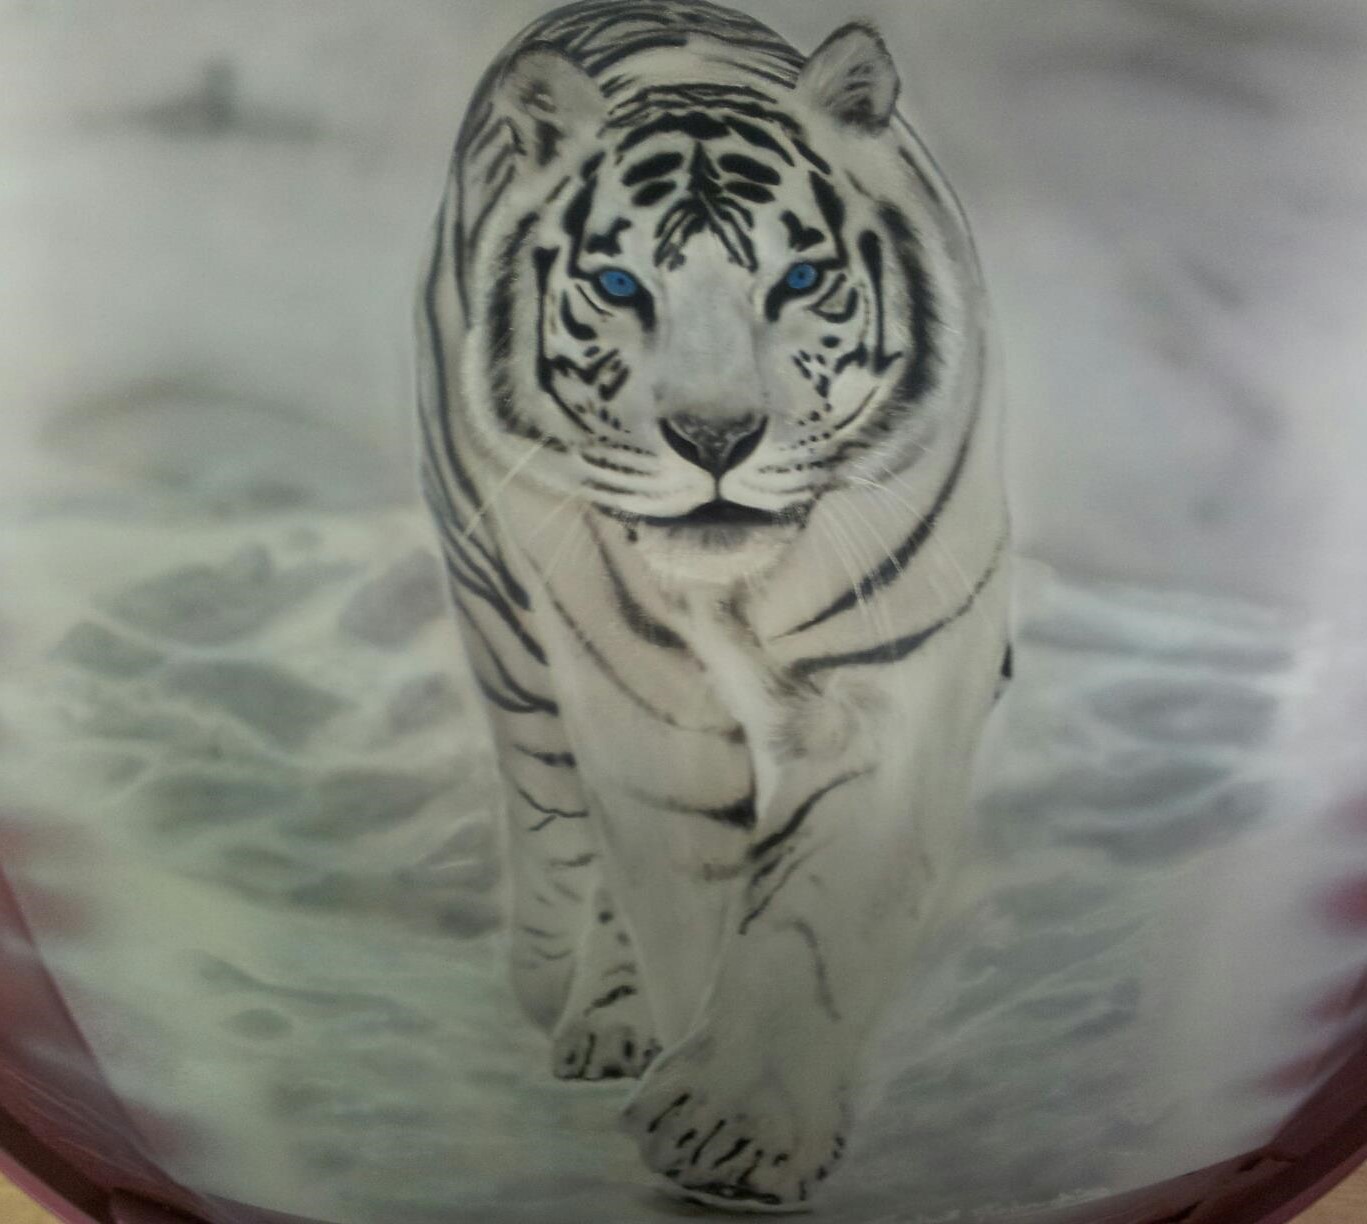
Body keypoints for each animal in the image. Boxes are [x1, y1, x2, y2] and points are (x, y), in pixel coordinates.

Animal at [416, 0, 1009, 1211]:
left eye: (798, 281)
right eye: (618, 288)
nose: (714, 437)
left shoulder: (891, 690)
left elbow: (816, 920)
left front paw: (740, 1131)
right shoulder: (643, 712)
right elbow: (681, 901)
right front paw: (696, 1099)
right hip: (505, 628)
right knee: (556, 822)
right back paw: (577, 1001)